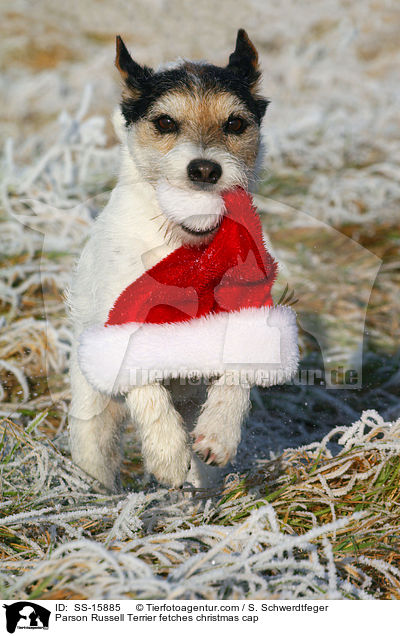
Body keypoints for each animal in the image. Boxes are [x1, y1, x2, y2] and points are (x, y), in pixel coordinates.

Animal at [69, 29, 298, 492]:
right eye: (165, 123)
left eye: (235, 123)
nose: (205, 169)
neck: (189, 250)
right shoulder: (124, 322)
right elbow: (144, 383)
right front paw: (167, 454)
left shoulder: (246, 312)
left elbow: (238, 370)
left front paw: (219, 432)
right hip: (93, 414)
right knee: (96, 451)